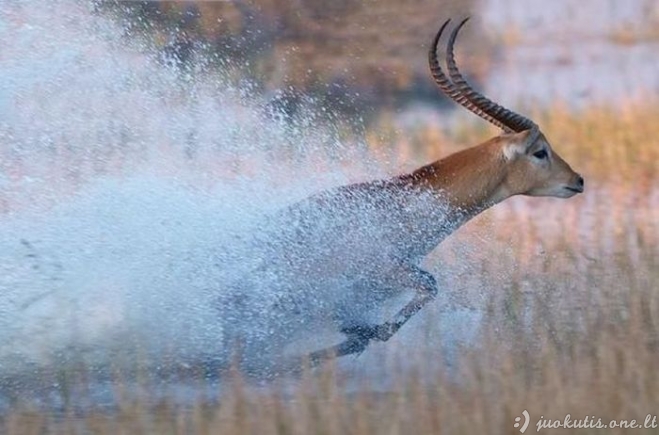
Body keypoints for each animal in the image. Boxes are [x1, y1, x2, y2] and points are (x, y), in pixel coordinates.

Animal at [226, 17, 584, 372]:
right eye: (540, 151)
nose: (578, 180)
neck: (408, 201)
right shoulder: (381, 271)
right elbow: (426, 291)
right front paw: (363, 331)